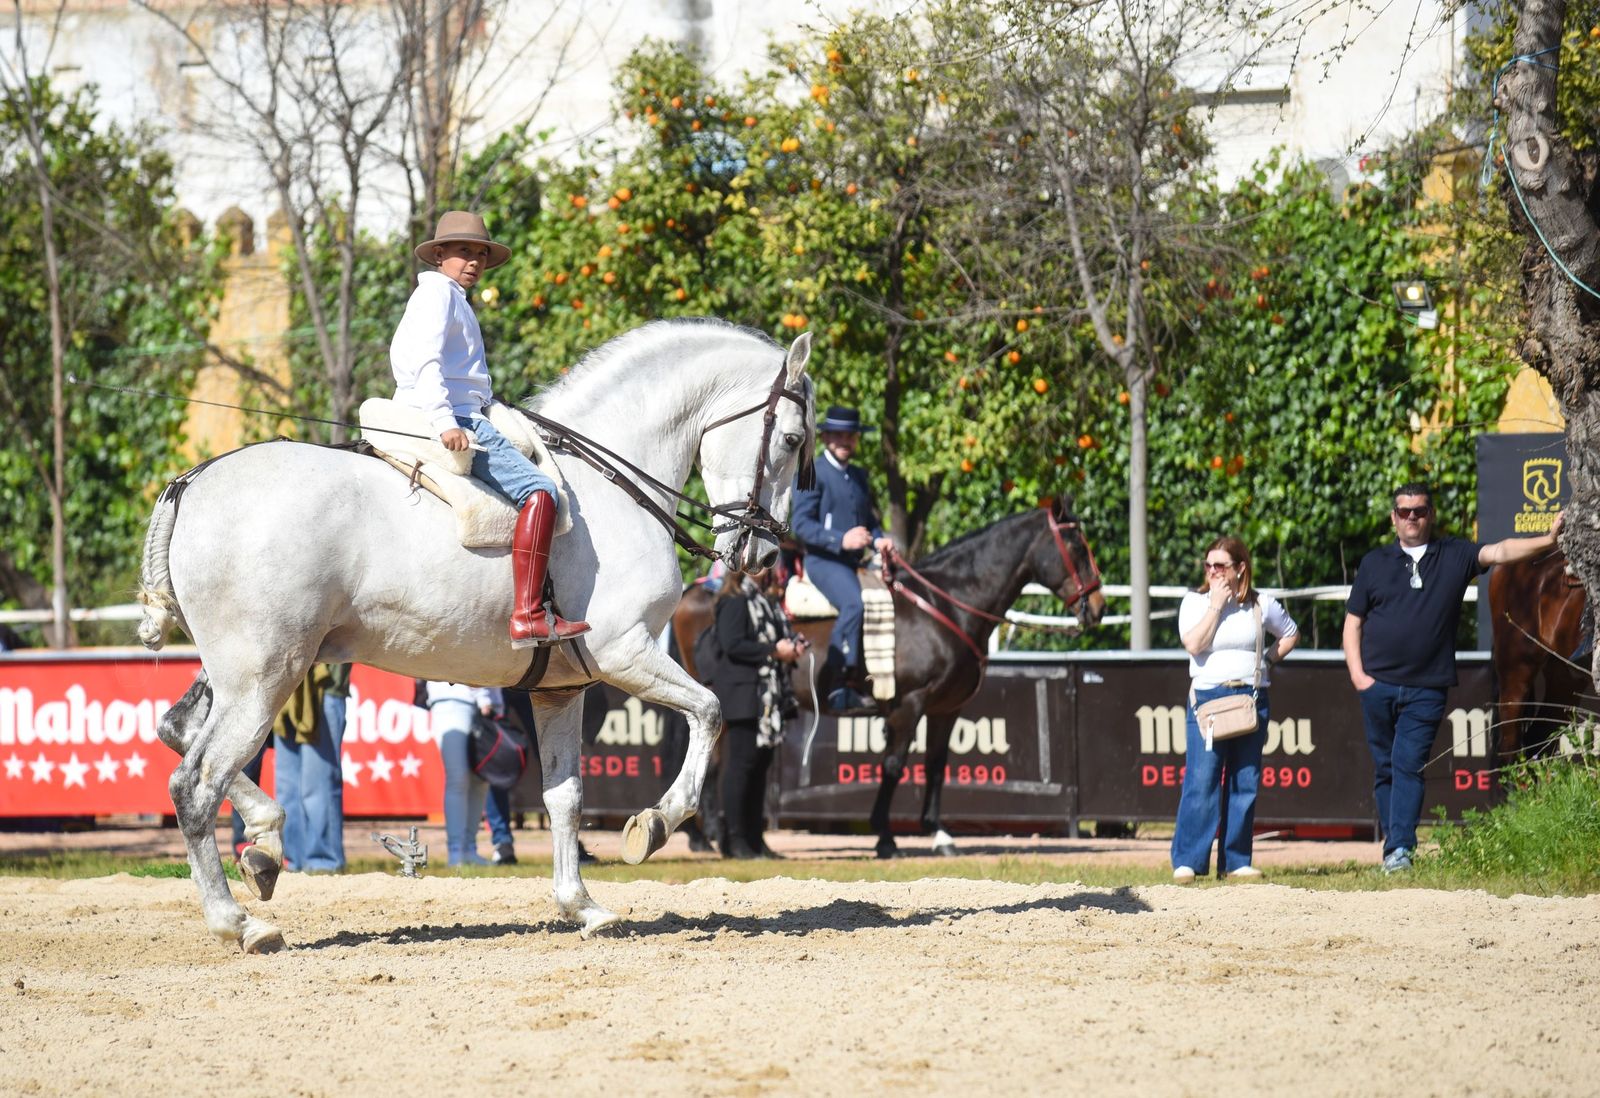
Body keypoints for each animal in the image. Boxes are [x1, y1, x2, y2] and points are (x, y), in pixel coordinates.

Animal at [136, 319, 815, 952]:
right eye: (792, 439)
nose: (762, 553)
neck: (610, 490)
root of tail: (192, 483)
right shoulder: (626, 653)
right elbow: (711, 710)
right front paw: (652, 826)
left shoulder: (562, 688)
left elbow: (564, 796)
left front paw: (583, 907)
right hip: (264, 675)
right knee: (195, 784)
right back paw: (239, 922)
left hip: (239, 672)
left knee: (177, 728)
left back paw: (266, 844)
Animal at [671, 499, 1106, 858]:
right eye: (1077, 546)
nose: (1098, 605)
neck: (942, 604)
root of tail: (696, 592)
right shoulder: (908, 705)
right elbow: (894, 766)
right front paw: (884, 836)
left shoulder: (946, 709)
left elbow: (935, 766)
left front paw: (939, 833)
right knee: (715, 764)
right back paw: (709, 837)